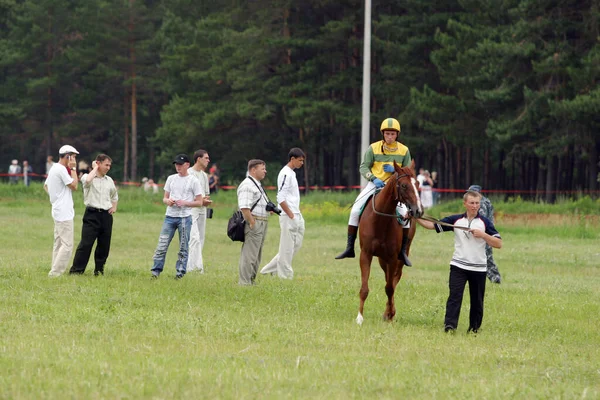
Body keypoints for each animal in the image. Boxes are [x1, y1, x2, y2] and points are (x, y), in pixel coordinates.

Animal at [356, 160, 422, 324]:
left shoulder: (392, 258)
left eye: (418, 183)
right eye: (404, 185)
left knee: (394, 280)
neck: (381, 220)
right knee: (388, 278)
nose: (418, 211)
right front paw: (359, 317)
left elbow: (390, 288)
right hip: (382, 259)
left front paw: (390, 314)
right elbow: (365, 288)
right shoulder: (365, 254)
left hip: (400, 256)